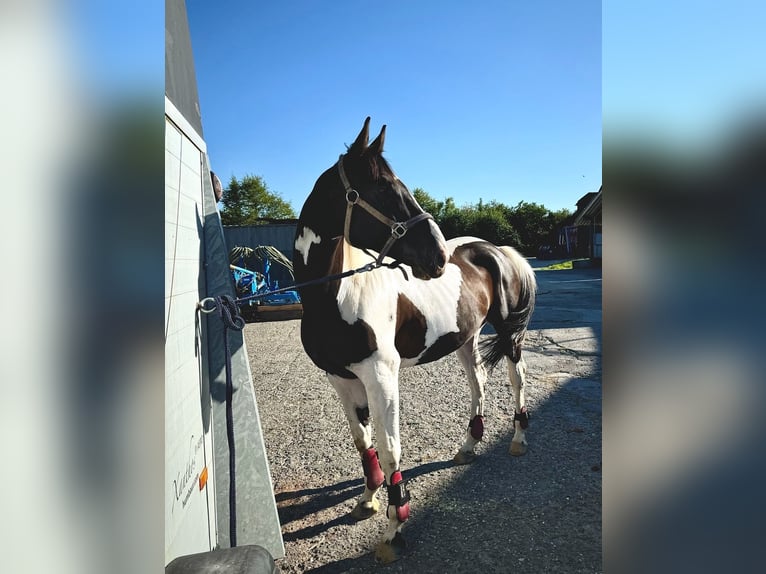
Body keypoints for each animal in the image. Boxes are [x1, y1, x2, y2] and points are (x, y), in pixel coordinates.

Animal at [294, 119, 540, 564]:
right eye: (383, 189)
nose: (437, 255)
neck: (336, 295)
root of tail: (496, 249)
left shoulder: (381, 377)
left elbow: (391, 448)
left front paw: (394, 528)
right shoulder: (341, 378)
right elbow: (363, 441)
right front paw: (368, 498)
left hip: (509, 334)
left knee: (517, 379)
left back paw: (517, 439)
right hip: (465, 339)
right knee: (478, 382)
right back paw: (469, 445)